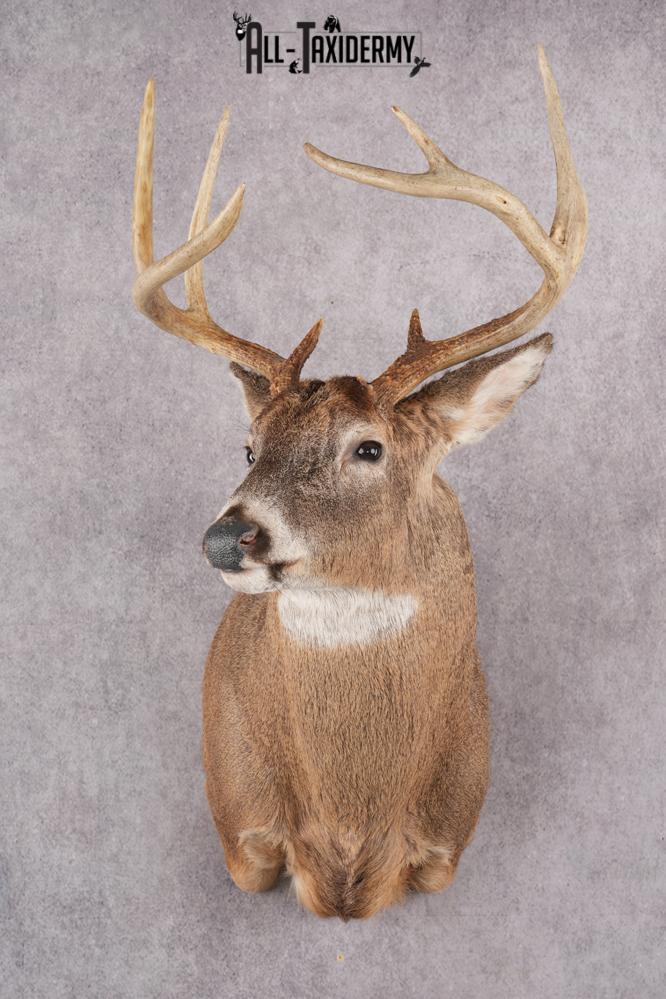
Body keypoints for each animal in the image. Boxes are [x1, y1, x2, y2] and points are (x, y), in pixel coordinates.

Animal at [131, 47, 587, 919]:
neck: (350, 823)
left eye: (369, 448)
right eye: (249, 445)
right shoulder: (243, 832)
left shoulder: (444, 848)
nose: (226, 536)